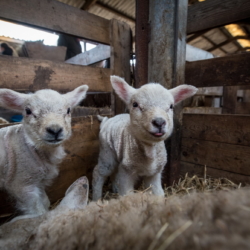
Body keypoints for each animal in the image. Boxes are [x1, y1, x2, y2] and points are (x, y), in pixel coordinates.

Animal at [0, 85, 89, 221]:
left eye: (68, 110)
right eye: (28, 111)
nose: (55, 130)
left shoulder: (39, 181)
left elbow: (45, 202)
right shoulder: (22, 183)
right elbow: (37, 211)